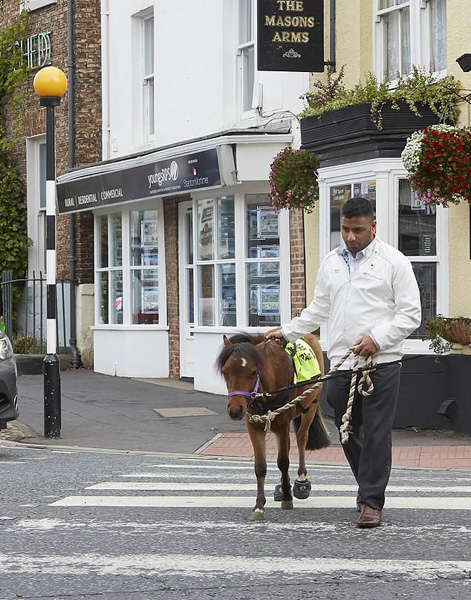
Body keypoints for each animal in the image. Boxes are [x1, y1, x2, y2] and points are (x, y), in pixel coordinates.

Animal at [216, 330, 330, 516]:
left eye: (253, 372)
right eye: (225, 371)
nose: (235, 409)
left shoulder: (282, 425)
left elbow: (283, 462)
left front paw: (287, 498)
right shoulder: (254, 426)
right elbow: (260, 466)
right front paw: (259, 505)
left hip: (310, 406)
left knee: (301, 438)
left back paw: (301, 481)